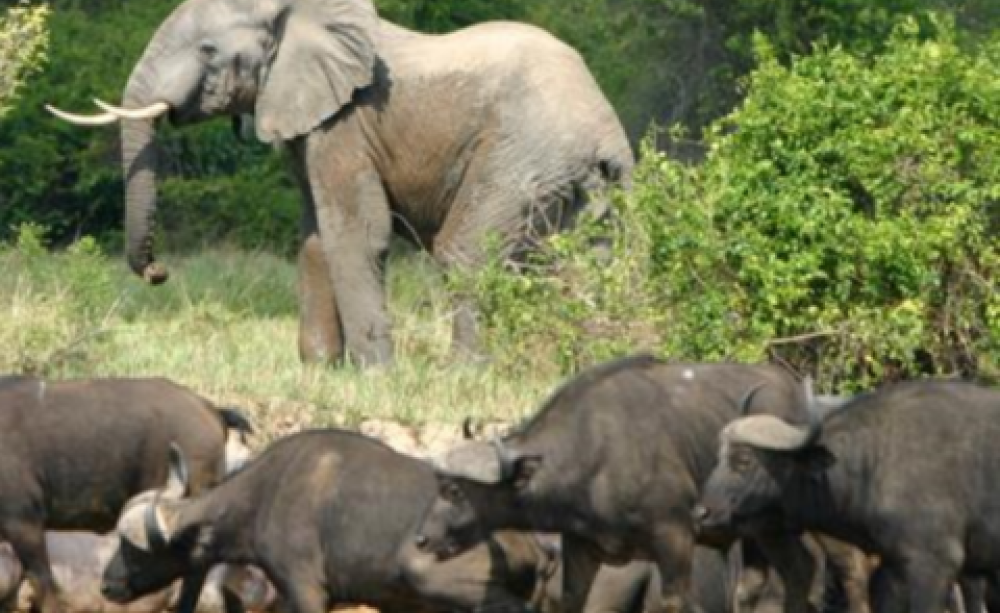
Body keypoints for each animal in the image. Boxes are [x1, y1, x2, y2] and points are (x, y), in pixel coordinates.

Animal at [48, 0, 634, 366]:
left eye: (208, 52)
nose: (158, 272)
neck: (298, 15)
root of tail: (610, 130)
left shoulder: (345, 123)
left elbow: (356, 233)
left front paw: (377, 376)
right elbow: (314, 237)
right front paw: (320, 370)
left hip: (522, 154)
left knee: (467, 252)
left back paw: (464, 373)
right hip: (577, 183)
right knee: (584, 266)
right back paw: (584, 371)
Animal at [414, 354, 824, 613]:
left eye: (454, 490)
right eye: (439, 483)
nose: (422, 539)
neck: (595, 454)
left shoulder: (676, 537)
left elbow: (678, 603)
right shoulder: (581, 549)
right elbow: (570, 601)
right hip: (759, 534)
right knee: (776, 579)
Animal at [695, 379, 1000, 613]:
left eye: (744, 460)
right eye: (718, 457)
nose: (701, 514)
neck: (876, 460)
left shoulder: (933, 564)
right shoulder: (893, 567)